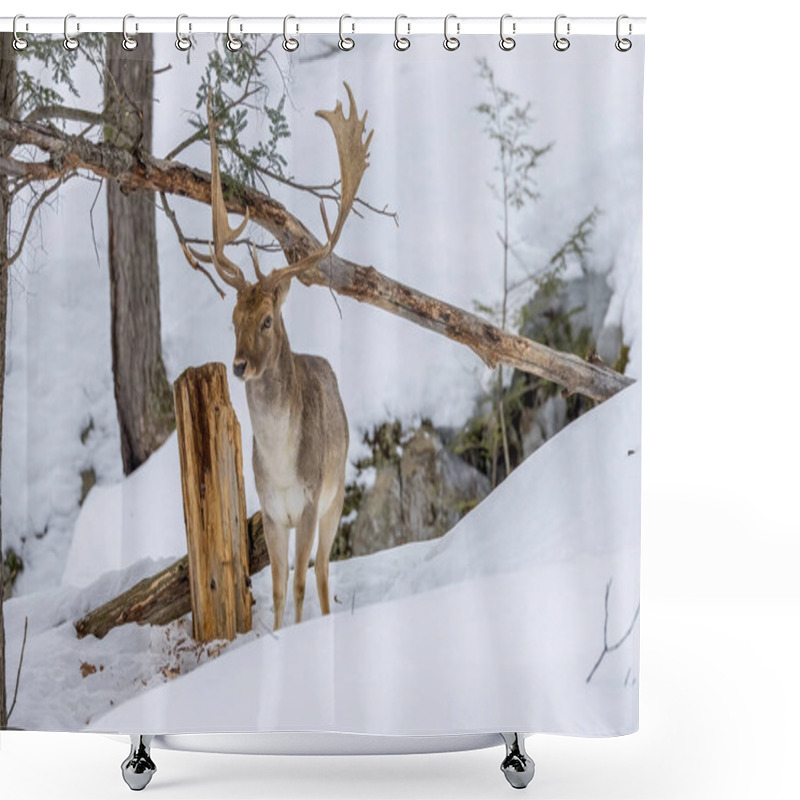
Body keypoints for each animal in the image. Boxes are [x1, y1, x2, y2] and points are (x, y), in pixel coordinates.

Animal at [189, 83, 374, 632]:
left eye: (267, 320)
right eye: (233, 318)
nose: (238, 365)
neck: (283, 465)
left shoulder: (311, 500)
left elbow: (297, 584)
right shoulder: (270, 511)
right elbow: (272, 587)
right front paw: (273, 638)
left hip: (338, 492)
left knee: (323, 573)